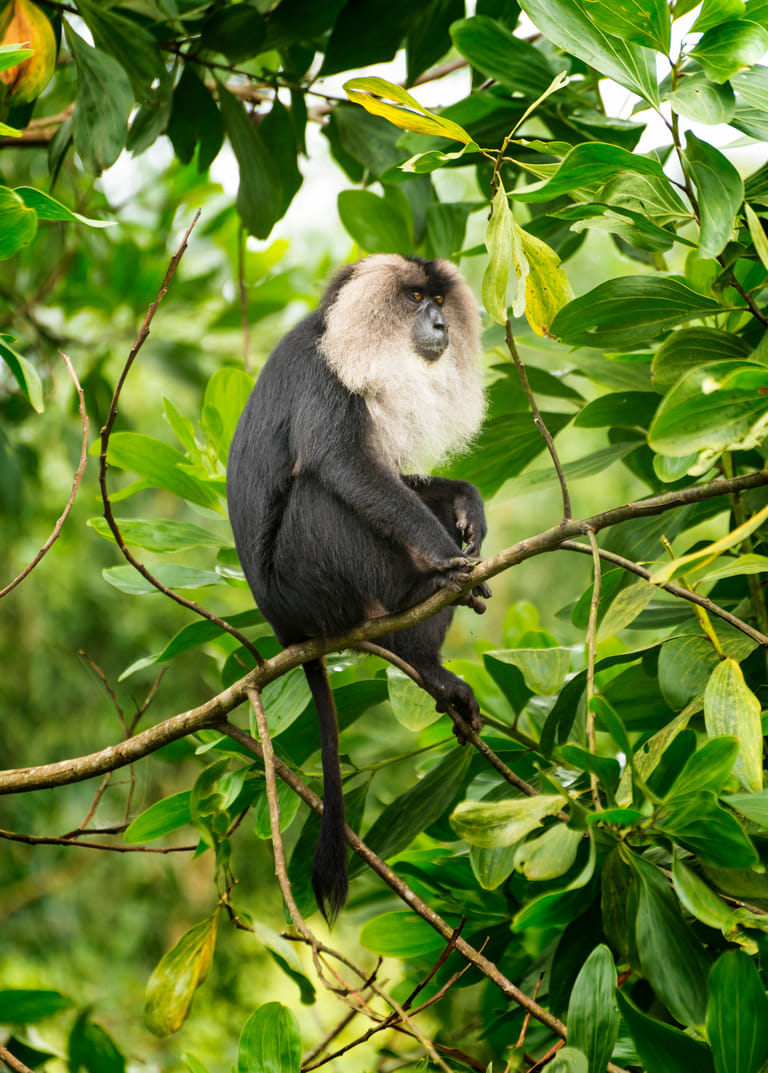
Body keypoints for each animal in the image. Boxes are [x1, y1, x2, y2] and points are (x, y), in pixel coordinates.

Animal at [227, 254, 489, 921]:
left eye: (438, 301)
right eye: (415, 298)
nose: (438, 322)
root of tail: (285, 628)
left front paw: (467, 503)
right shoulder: (325, 376)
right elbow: (343, 463)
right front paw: (445, 554)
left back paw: (428, 666)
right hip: (307, 585)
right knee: (321, 494)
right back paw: (421, 592)